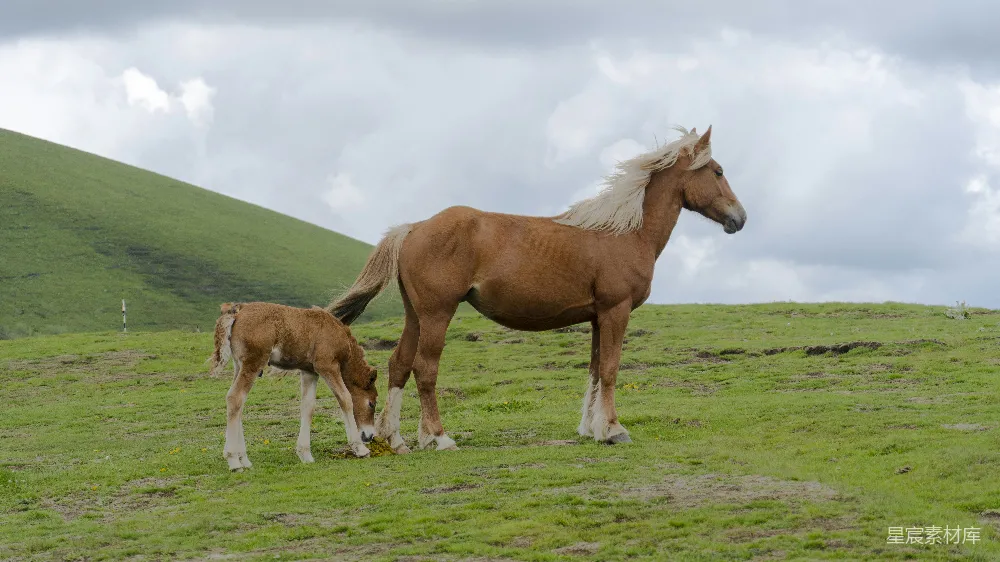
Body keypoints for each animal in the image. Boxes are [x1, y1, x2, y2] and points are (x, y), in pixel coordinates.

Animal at [209, 301, 379, 470]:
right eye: (372, 403)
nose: (369, 436)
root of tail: (238, 309)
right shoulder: (327, 366)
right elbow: (345, 398)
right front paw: (360, 448)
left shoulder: (309, 371)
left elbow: (308, 406)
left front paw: (305, 454)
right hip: (253, 362)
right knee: (235, 397)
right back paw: (234, 461)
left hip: (239, 365)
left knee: (238, 402)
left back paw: (244, 459)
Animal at [328, 126, 746, 453]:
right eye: (718, 171)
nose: (739, 218)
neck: (626, 233)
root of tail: (413, 228)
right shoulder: (616, 310)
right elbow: (610, 369)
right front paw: (613, 429)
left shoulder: (598, 317)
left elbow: (595, 370)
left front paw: (591, 428)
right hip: (437, 314)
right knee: (424, 369)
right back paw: (438, 437)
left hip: (415, 315)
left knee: (399, 364)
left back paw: (396, 438)